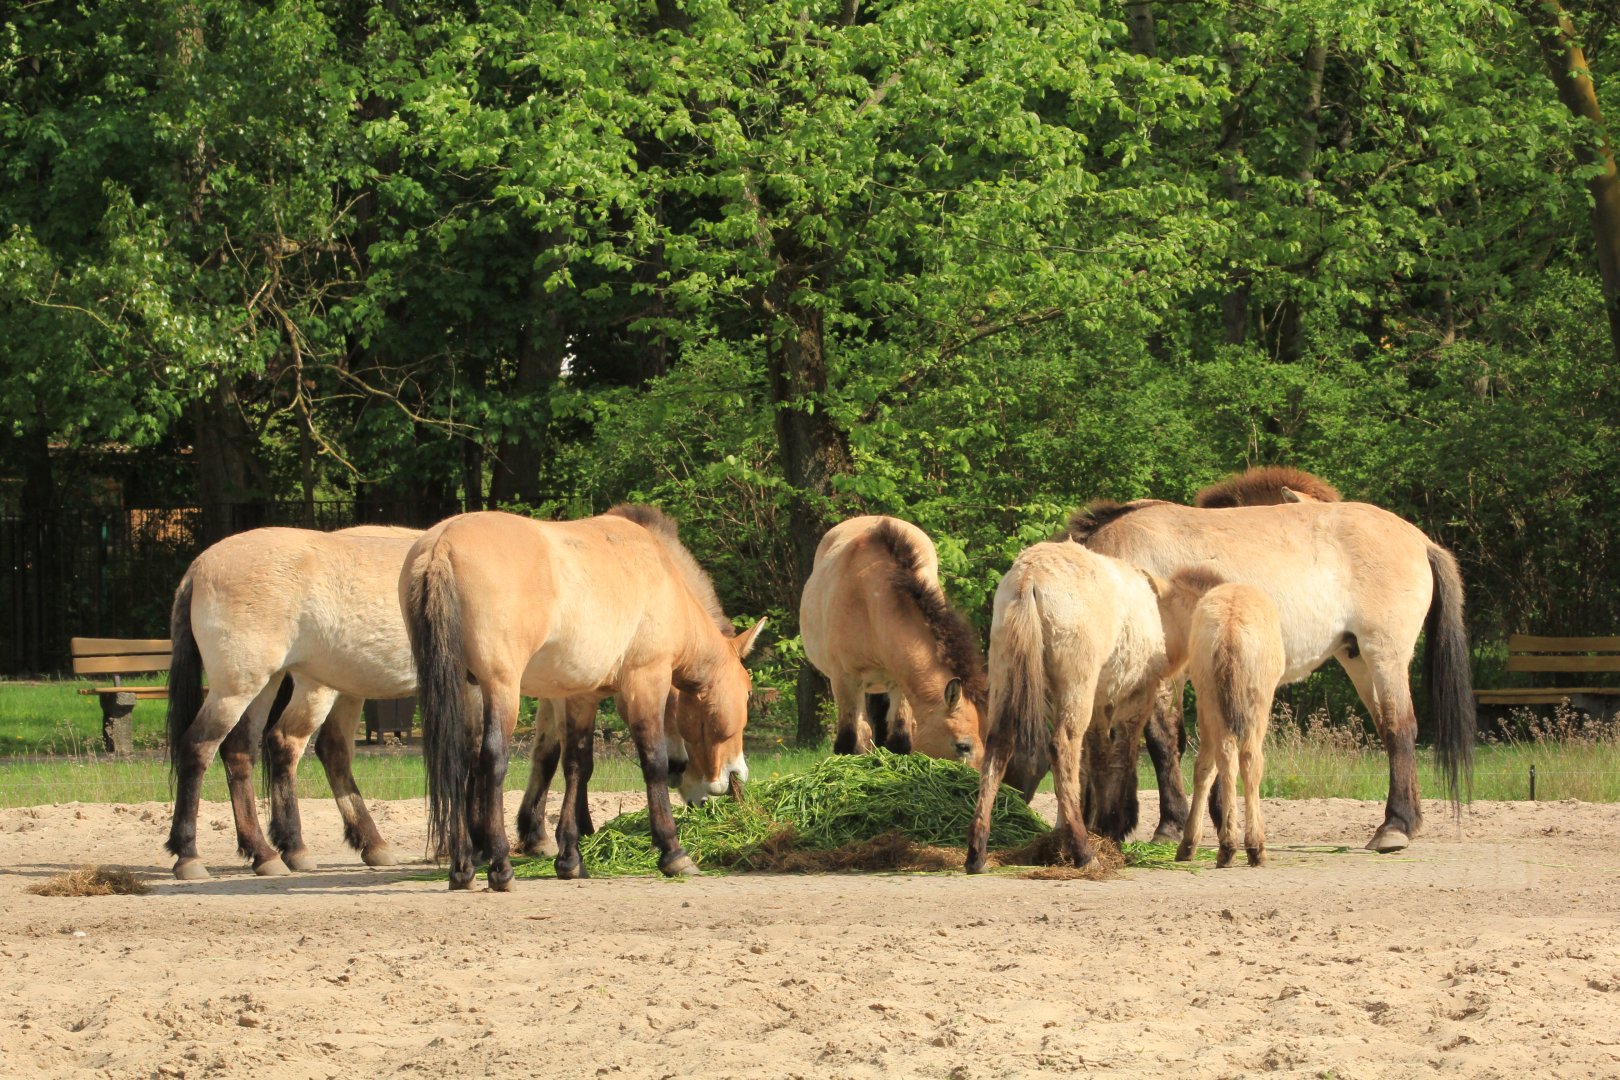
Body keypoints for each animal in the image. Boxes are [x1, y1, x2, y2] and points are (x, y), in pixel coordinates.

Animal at [165, 525, 423, 881]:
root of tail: (200, 566)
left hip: (275, 685)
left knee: (244, 750)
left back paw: (266, 852)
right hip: (246, 689)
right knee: (203, 748)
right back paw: (191, 856)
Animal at [403, 508, 764, 890]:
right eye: (747, 691)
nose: (736, 773)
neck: (663, 577)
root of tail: (442, 545)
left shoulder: (580, 696)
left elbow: (577, 765)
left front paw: (570, 858)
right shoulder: (647, 681)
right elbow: (654, 763)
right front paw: (673, 852)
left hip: (461, 688)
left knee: (458, 761)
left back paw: (462, 867)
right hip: (500, 688)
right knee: (491, 760)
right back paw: (500, 865)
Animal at [800, 516, 987, 764]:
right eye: (963, 746)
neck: (870, 599)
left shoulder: (901, 684)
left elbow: (899, 742)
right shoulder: (845, 680)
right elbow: (848, 743)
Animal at [964, 541, 1220, 872]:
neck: (1160, 612)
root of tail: (1029, 576)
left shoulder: (1100, 704)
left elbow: (1097, 759)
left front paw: (1099, 827)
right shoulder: (1135, 699)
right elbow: (1120, 757)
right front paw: (1112, 827)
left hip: (1007, 678)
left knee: (999, 748)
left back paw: (977, 855)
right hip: (1076, 688)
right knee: (1062, 747)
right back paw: (1085, 852)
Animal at [1176, 582, 1286, 868]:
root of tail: (1230, 633)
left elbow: (1205, 768)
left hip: (1209, 696)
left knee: (1221, 757)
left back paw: (1224, 845)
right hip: (1256, 701)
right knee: (1249, 759)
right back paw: (1253, 846)